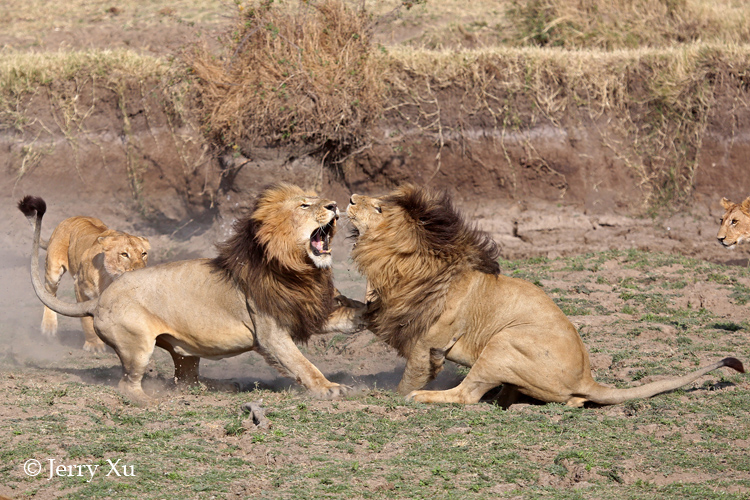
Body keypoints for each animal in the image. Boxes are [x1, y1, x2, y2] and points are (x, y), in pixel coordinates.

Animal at [19, 186, 366, 404]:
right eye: (305, 204)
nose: (334, 205)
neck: (301, 270)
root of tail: (101, 298)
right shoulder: (271, 332)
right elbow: (303, 364)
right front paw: (329, 388)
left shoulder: (312, 308)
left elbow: (352, 312)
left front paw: (370, 311)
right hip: (137, 345)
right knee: (126, 384)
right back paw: (150, 401)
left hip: (185, 349)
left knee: (185, 379)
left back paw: (223, 385)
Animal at [348, 186, 748, 408]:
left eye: (379, 207)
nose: (350, 198)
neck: (400, 267)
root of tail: (587, 378)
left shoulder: (427, 343)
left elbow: (410, 377)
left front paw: (394, 396)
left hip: (505, 340)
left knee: (466, 395)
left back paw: (430, 399)